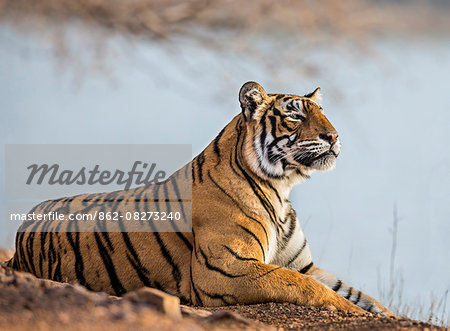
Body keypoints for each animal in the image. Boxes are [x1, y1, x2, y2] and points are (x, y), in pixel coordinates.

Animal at [5, 82, 392, 316]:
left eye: (324, 114)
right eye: (295, 116)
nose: (334, 136)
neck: (282, 188)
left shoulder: (304, 264)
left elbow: (360, 295)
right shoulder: (227, 269)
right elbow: (310, 289)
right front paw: (353, 313)